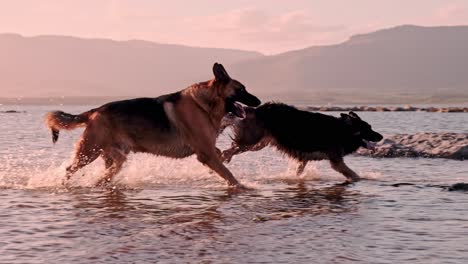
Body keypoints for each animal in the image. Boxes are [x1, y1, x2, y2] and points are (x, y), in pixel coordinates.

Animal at [44, 63, 260, 188]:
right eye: (241, 90)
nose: (258, 102)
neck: (204, 104)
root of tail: (95, 111)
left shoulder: (207, 150)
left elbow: (221, 157)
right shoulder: (205, 152)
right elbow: (228, 174)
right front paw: (242, 186)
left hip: (113, 155)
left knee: (108, 171)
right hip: (89, 152)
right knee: (69, 169)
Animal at [221, 102, 382, 182]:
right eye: (368, 128)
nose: (381, 137)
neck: (343, 130)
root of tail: (257, 109)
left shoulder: (303, 158)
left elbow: (298, 171)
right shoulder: (336, 161)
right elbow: (353, 174)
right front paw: (361, 179)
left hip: (257, 143)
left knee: (232, 148)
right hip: (252, 140)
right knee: (230, 149)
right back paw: (222, 159)